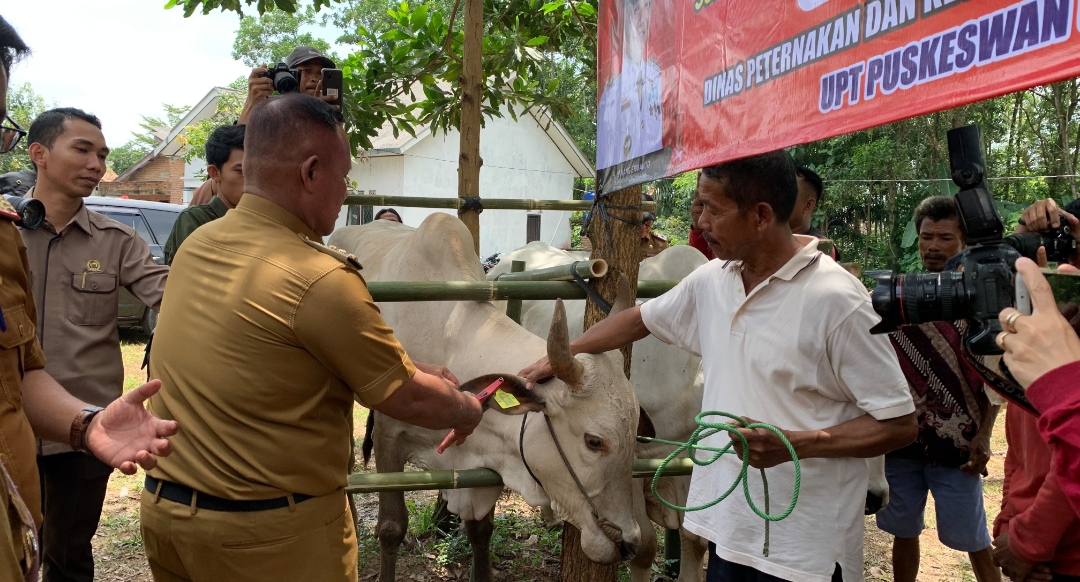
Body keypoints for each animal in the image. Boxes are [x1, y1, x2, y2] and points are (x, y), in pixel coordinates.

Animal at [328, 217, 643, 582]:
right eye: (594, 441)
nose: (628, 543)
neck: (451, 332)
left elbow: (480, 530)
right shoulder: (389, 438)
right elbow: (392, 527)